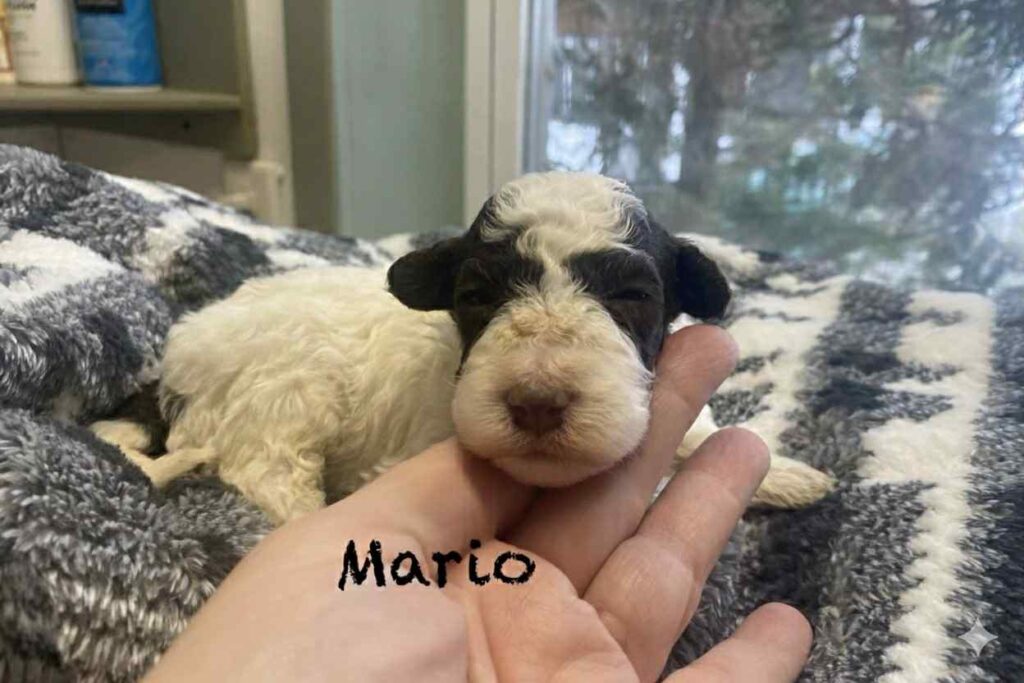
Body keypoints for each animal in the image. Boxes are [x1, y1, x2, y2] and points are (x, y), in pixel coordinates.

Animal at [92, 171, 834, 524]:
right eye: (476, 296)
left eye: (631, 297)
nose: (536, 404)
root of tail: (175, 360)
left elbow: (702, 434)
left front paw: (791, 475)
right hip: (285, 397)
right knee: (269, 475)